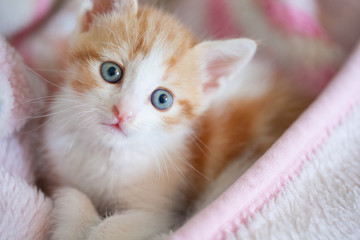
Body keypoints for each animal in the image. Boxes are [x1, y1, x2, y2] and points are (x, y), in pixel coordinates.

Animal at [39, 0, 308, 238]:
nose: (122, 112)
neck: (108, 151)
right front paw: (74, 227)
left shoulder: (166, 212)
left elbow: (116, 226)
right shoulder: (57, 170)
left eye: (162, 99)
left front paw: (97, 231)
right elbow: (72, 194)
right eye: (111, 71)